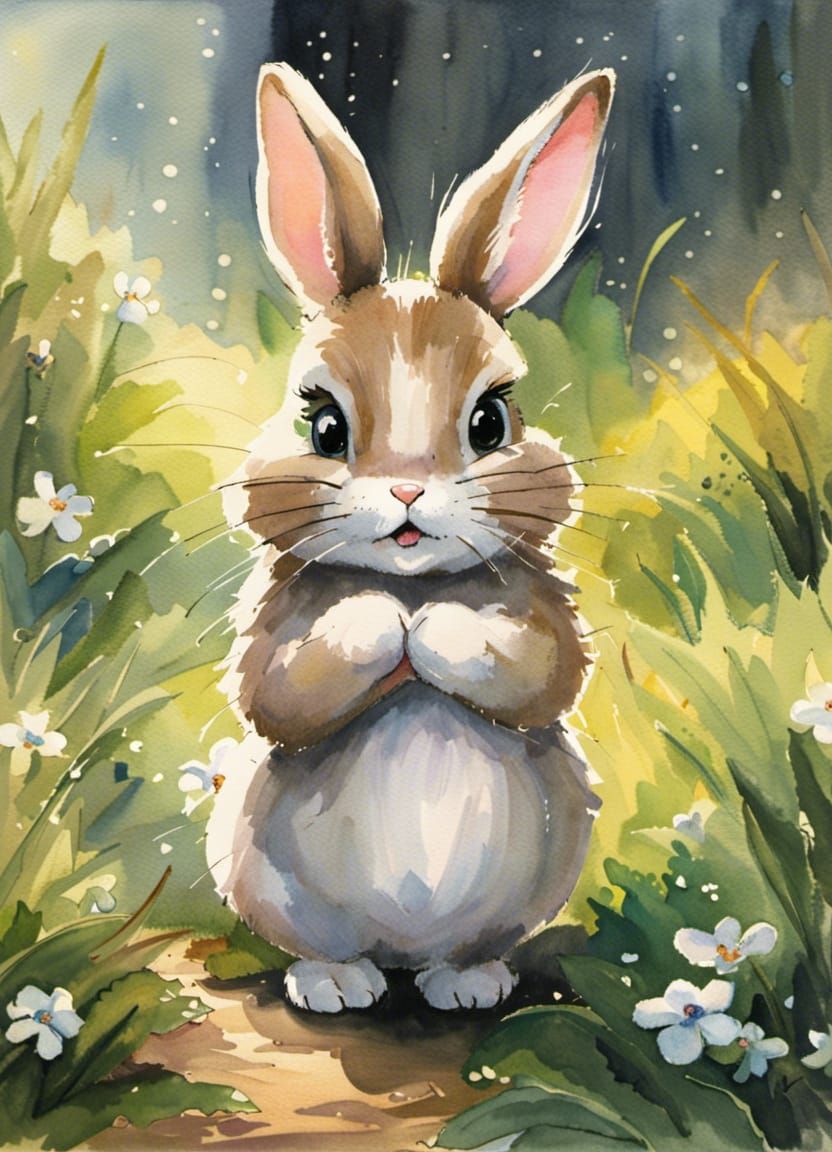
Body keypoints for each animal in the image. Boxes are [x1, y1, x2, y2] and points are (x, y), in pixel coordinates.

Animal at [206, 61, 614, 1012]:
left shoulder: (545, 616)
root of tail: (400, 949)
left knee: (459, 956)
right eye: (322, 426)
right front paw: (382, 625)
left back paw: (466, 984)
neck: (408, 577)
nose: (405, 490)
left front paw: (427, 631)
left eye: (491, 421)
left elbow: (540, 670)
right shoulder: (271, 636)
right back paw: (335, 984)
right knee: (329, 950)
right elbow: (281, 689)